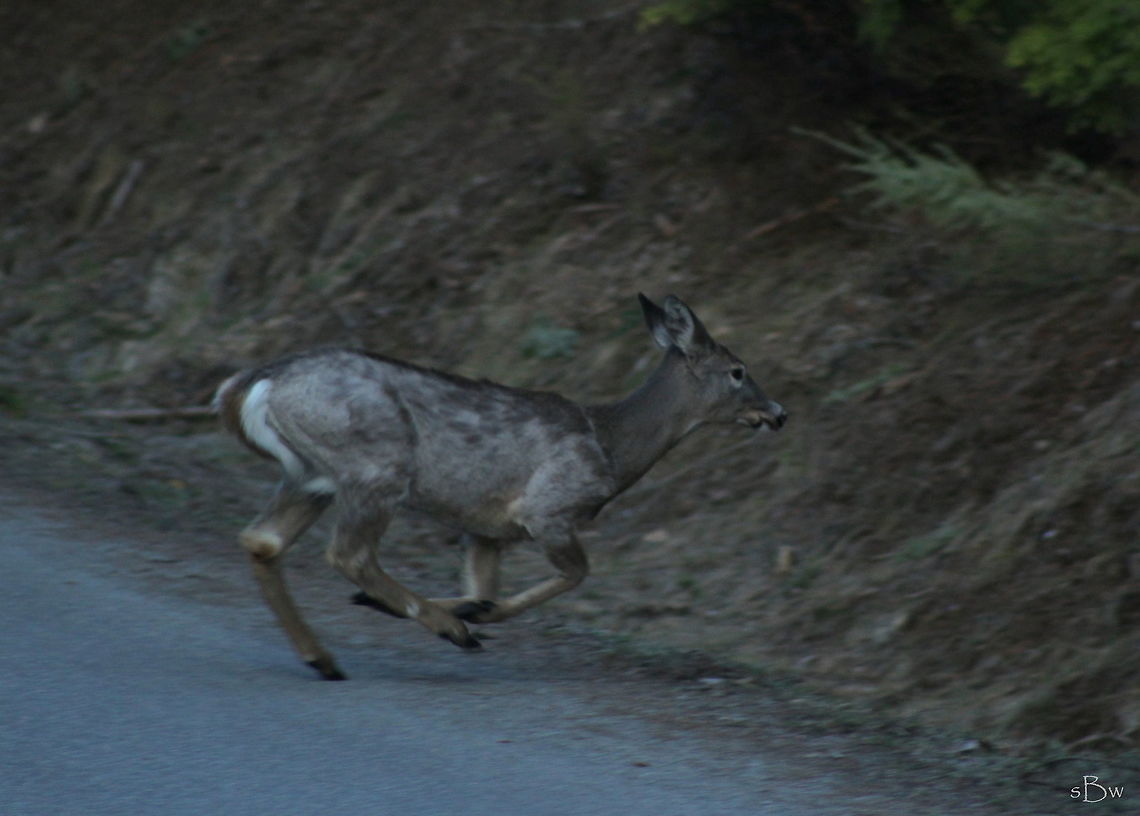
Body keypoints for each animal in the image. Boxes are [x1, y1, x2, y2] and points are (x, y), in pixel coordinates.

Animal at [214, 293, 786, 679]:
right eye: (738, 371)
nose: (778, 413)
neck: (612, 447)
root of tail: (252, 384)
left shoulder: (486, 528)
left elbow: (483, 585)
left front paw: (461, 606)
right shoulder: (549, 505)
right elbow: (576, 574)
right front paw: (471, 616)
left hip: (312, 474)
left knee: (263, 539)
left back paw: (324, 656)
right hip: (375, 464)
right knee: (348, 552)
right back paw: (448, 631)